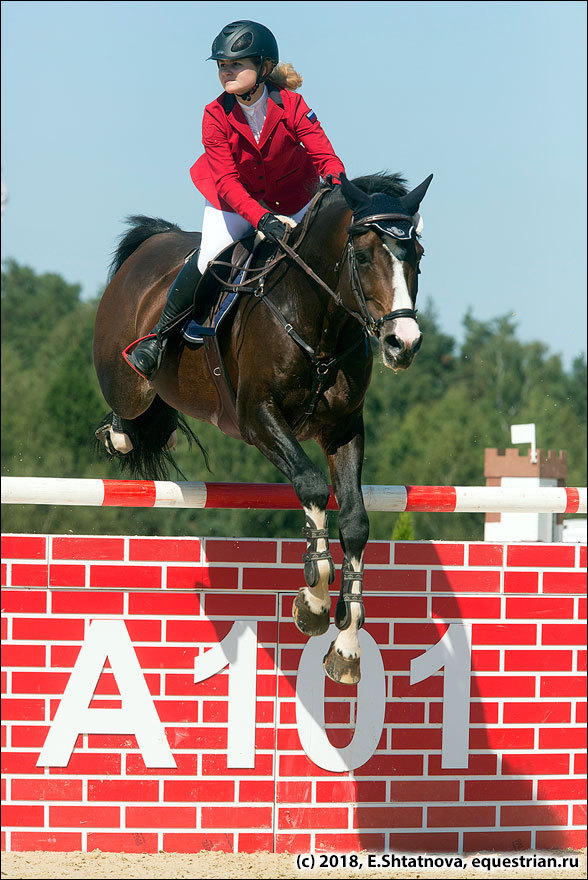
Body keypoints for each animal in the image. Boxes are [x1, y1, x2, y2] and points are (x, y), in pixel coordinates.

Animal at [92, 168, 432, 684]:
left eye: (418, 255)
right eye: (363, 255)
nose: (402, 343)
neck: (319, 317)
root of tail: (153, 242)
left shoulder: (344, 430)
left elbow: (355, 522)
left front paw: (348, 646)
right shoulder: (257, 418)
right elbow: (311, 484)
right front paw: (314, 600)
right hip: (125, 377)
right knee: (128, 410)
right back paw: (121, 426)